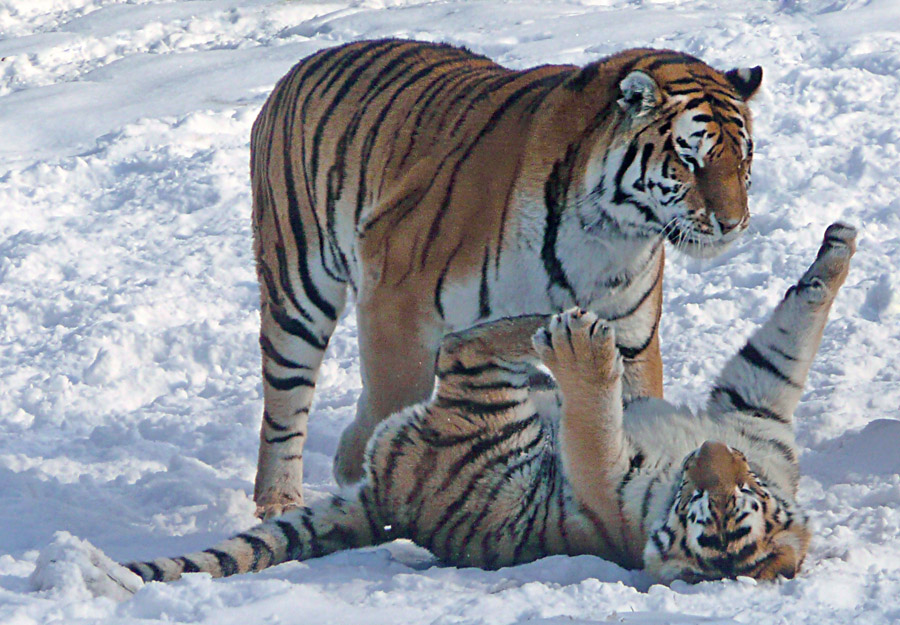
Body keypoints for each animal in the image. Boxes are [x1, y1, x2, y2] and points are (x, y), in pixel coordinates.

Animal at [121, 222, 856, 584]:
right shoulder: (756, 410)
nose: (710, 451)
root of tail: (381, 504)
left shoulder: (604, 484)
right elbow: (796, 326)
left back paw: (561, 326)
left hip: (485, 408)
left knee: (464, 348)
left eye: (716, 509)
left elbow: (594, 429)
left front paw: (586, 354)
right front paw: (841, 243)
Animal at [250, 37, 764, 512]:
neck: (607, 237)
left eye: (744, 158)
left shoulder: (629, 334)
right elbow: (393, 395)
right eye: (690, 159)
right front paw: (367, 475)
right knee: (284, 403)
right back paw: (279, 499)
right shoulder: (395, 294)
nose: (734, 222)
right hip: (299, 291)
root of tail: (299, 68)